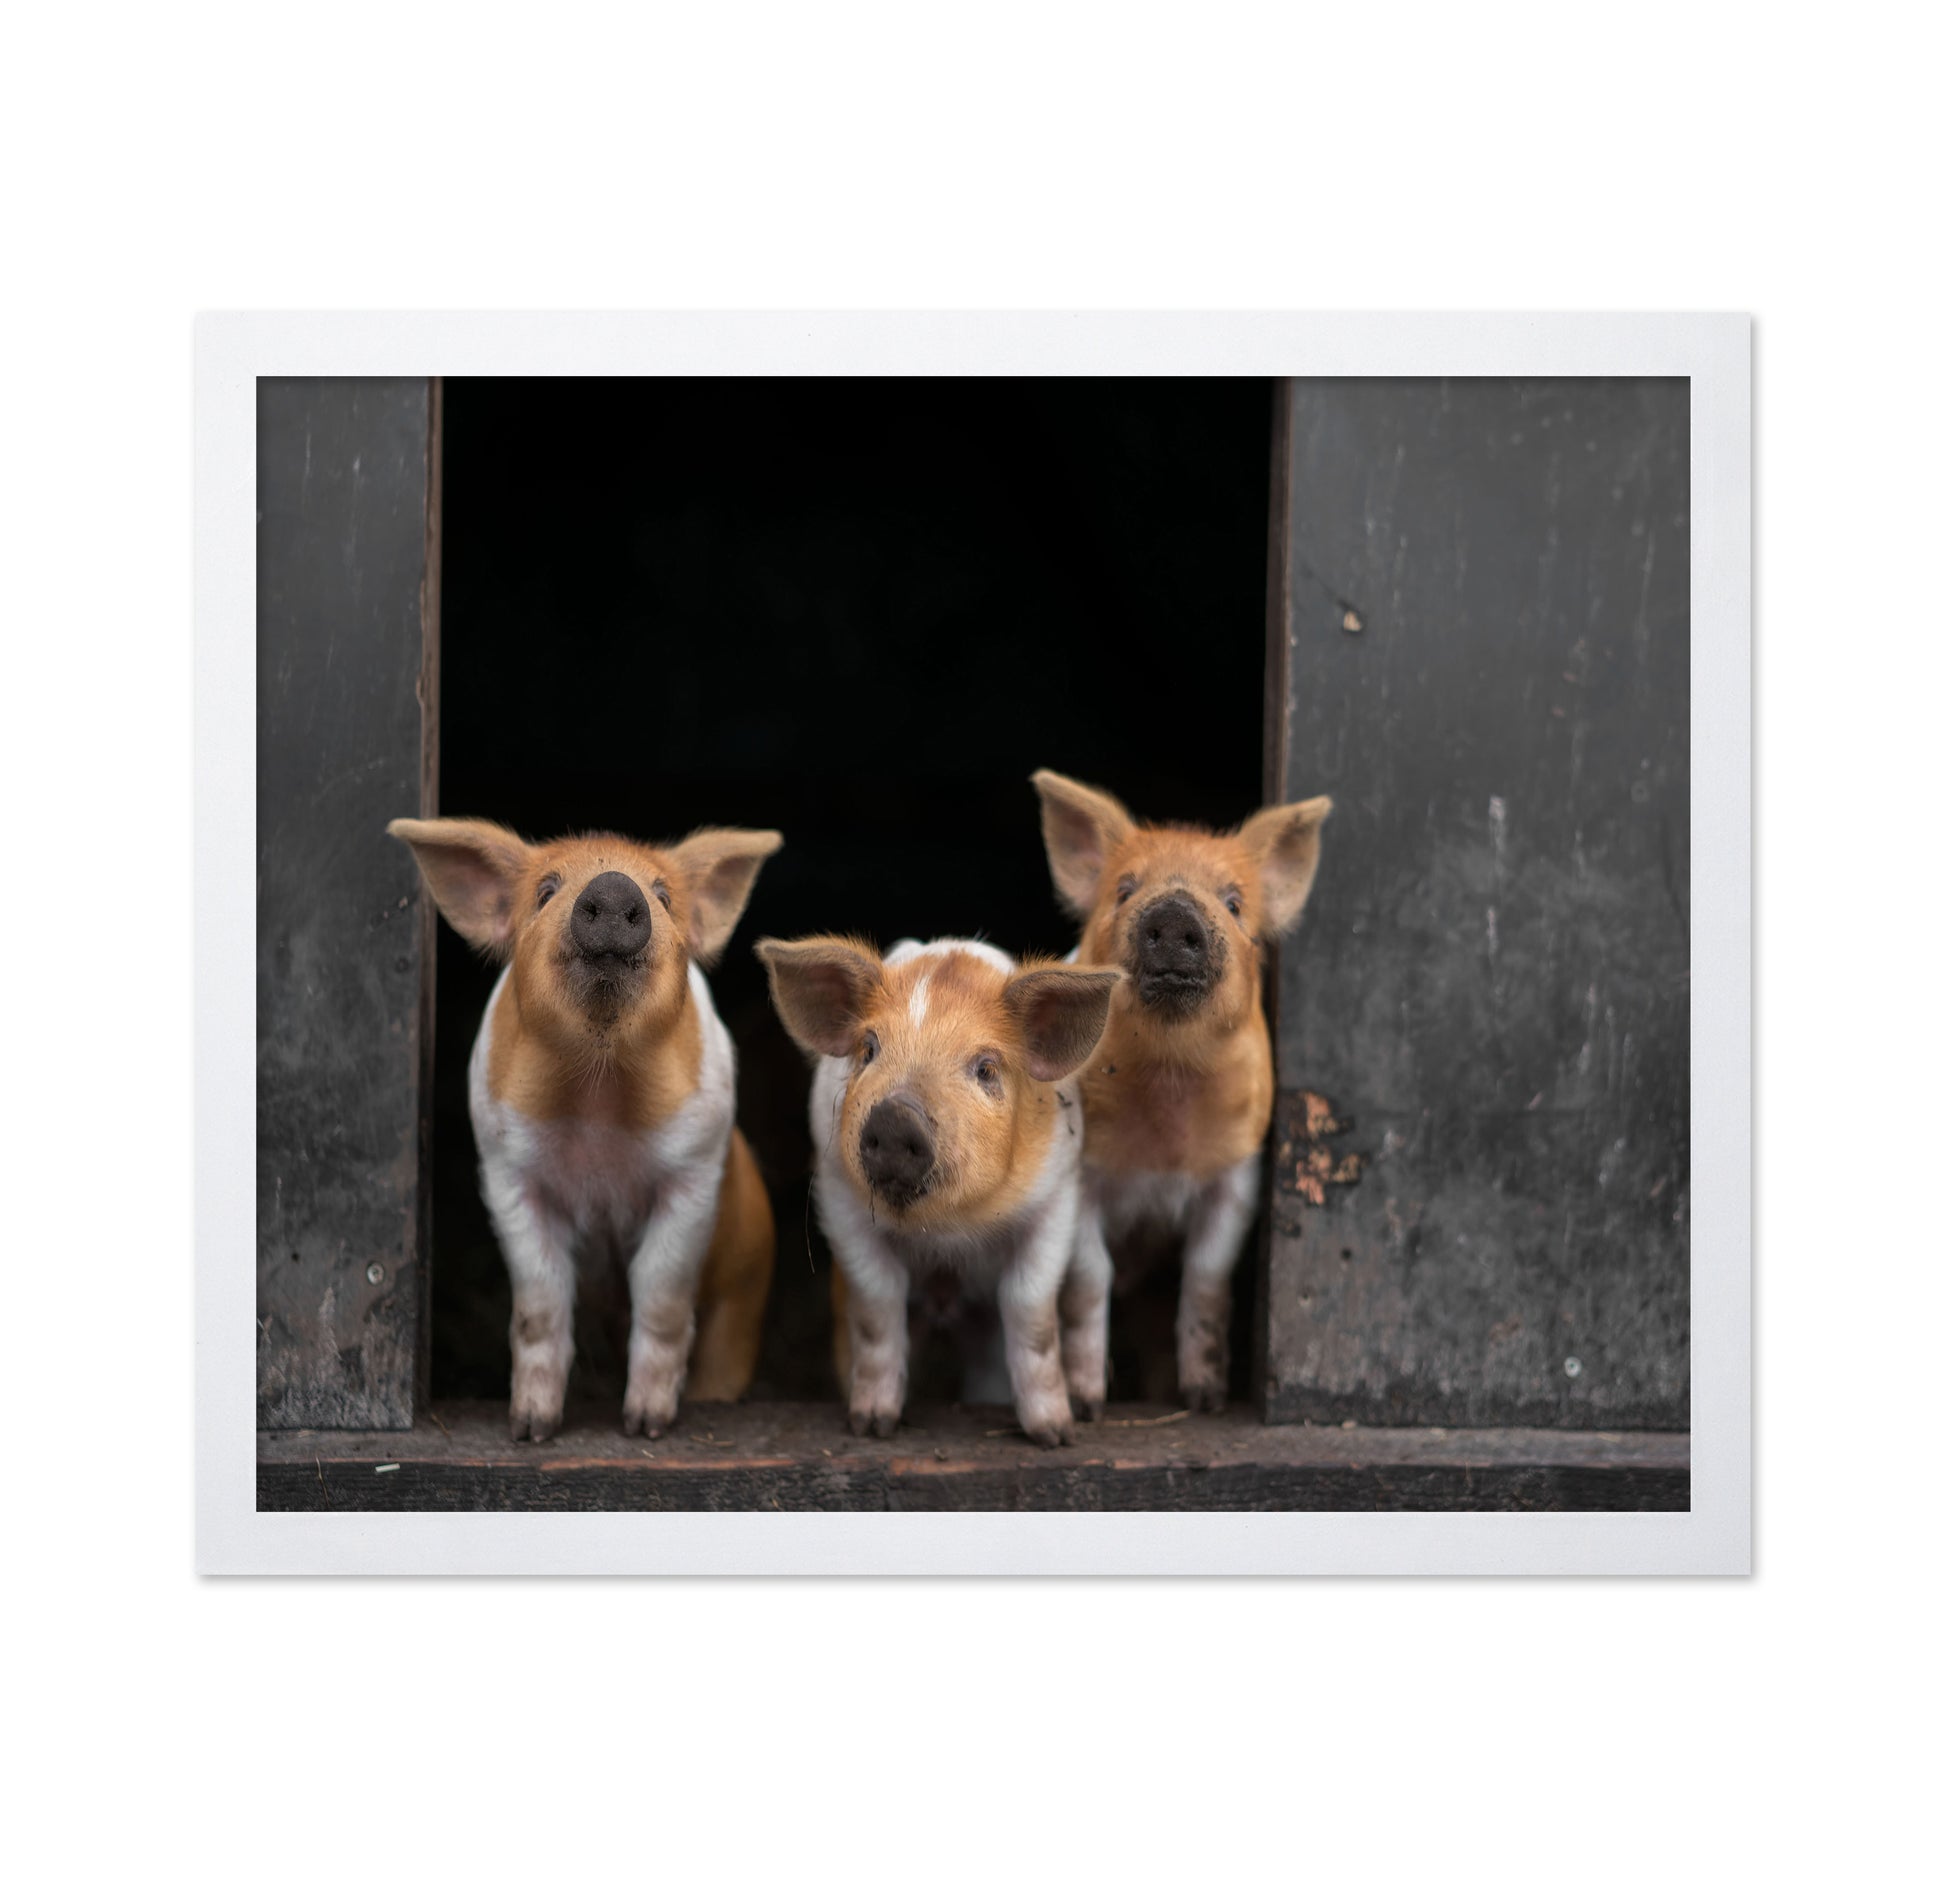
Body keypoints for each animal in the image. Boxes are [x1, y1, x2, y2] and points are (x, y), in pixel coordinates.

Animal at [388, 817, 781, 1440]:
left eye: (664, 896)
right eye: (545, 891)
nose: (616, 885)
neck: (598, 1101)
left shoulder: (694, 1174)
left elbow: (661, 1296)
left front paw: (645, 1427)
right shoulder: (507, 1174)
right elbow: (539, 1304)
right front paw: (529, 1430)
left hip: (746, 1284)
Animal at [756, 935, 1120, 1447]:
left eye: (986, 1068)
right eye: (869, 1049)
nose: (894, 1117)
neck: (946, 1232)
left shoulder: (1055, 1199)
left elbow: (1031, 1312)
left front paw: (1056, 1435)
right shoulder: (838, 1199)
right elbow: (876, 1304)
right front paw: (872, 1426)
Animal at [1031, 769, 1332, 1412]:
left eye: (1234, 902)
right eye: (1124, 891)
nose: (1172, 911)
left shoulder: (1238, 1172)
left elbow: (1207, 1274)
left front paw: (1205, 1398)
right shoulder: (1082, 1177)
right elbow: (1090, 1277)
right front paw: (1089, 1405)